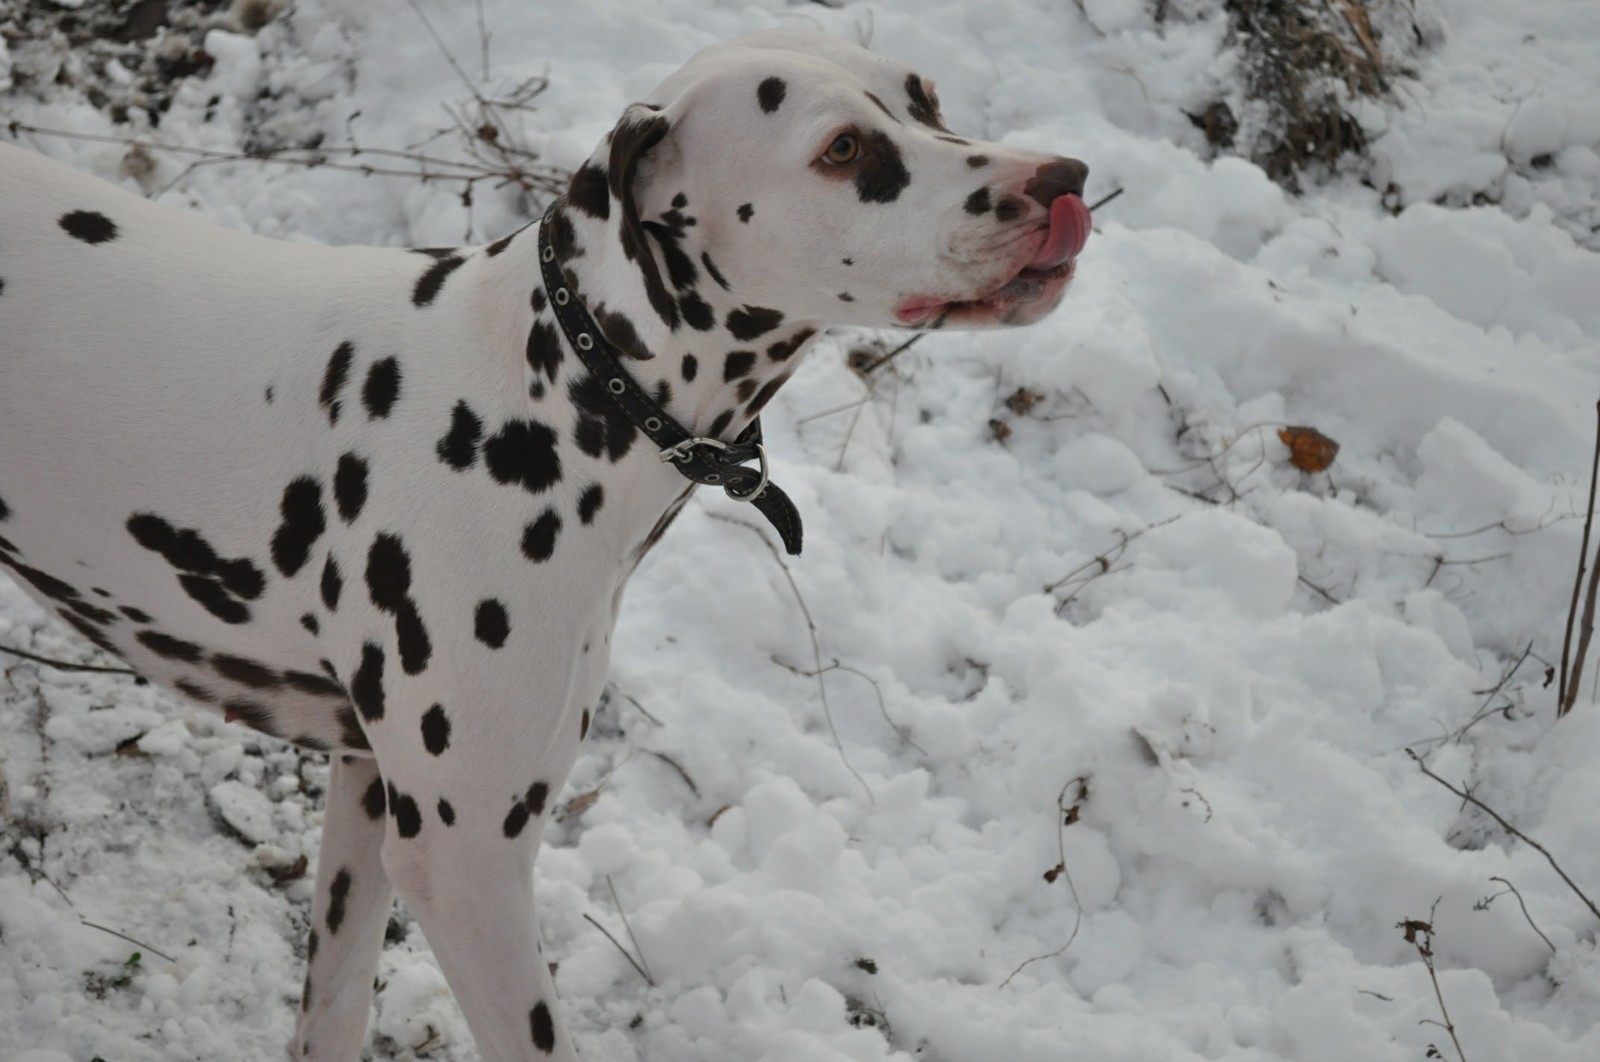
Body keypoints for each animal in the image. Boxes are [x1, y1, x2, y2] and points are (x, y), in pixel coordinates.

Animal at [0, 28, 1088, 1055]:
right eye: (843, 149)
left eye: (927, 99)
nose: (1064, 179)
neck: (551, 395)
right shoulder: (466, 864)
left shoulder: (368, 798)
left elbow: (333, 1013)